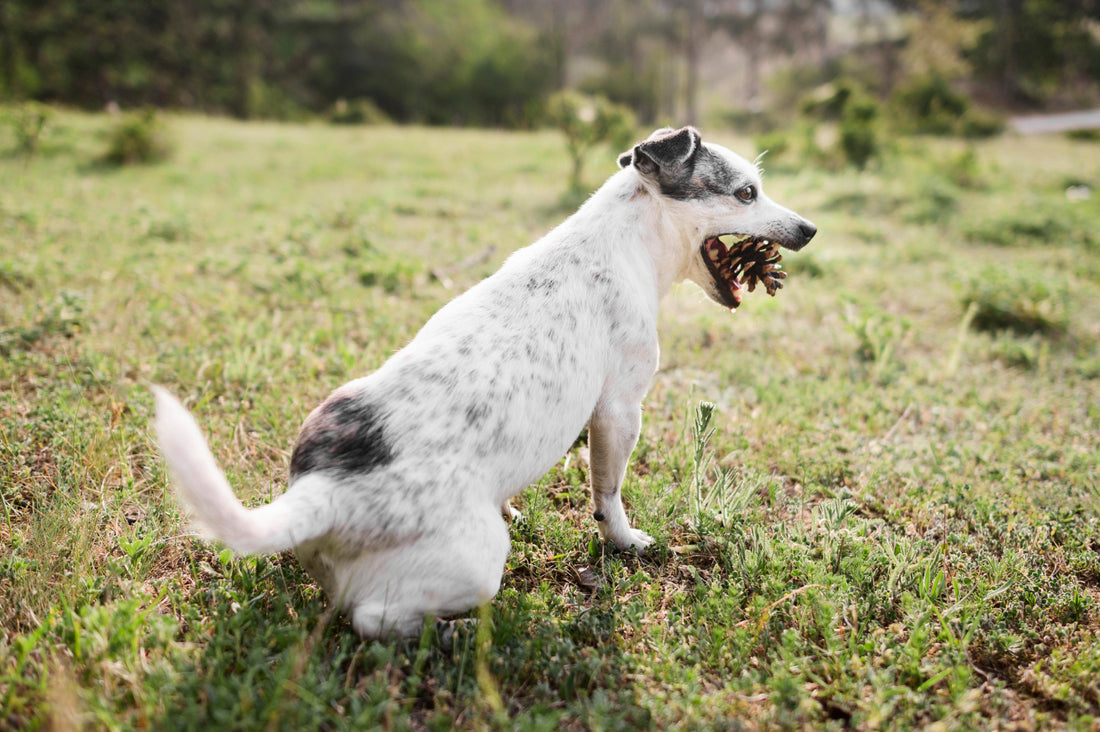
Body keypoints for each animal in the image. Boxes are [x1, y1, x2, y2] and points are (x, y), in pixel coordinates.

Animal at [159, 128, 822, 638]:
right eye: (746, 193)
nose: (810, 229)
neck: (628, 236)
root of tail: (322, 490)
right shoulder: (619, 410)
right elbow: (608, 494)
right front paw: (624, 540)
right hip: (476, 563)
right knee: (372, 620)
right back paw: (453, 634)